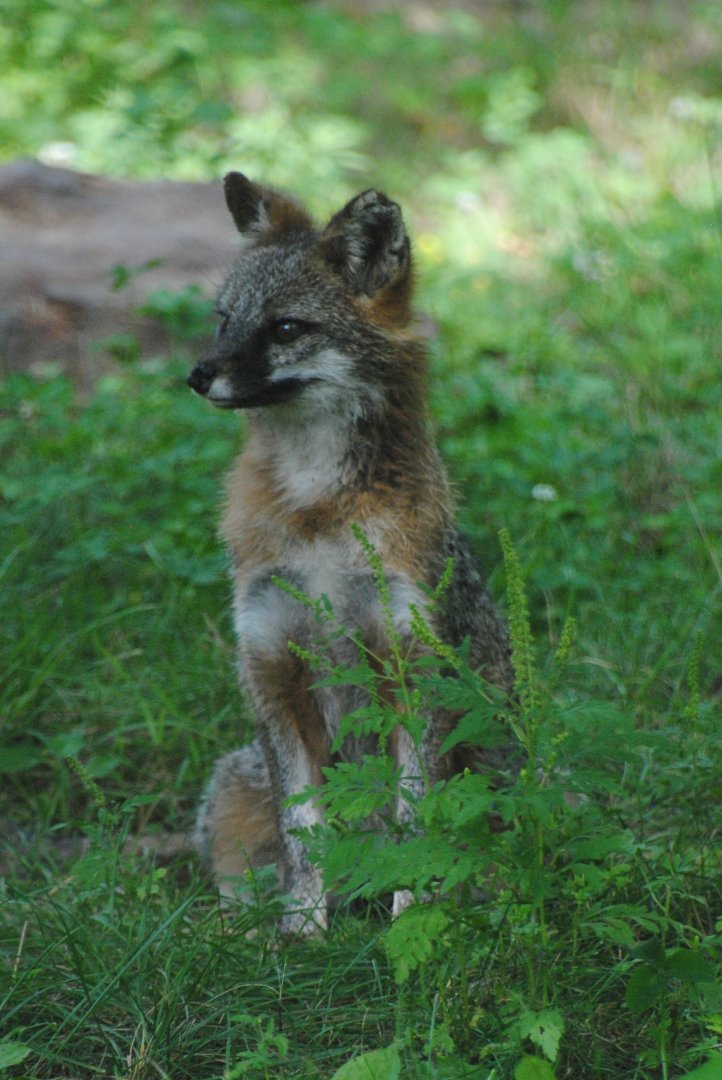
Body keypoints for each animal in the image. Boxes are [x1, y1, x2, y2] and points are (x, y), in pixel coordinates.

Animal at [188, 174, 513, 935]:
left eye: (285, 328)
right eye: (224, 319)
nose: (197, 374)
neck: (318, 521)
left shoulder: (414, 673)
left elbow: (417, 820)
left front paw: (414, 917)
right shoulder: (273, 674)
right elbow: (302, 833)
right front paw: (301, 937)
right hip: (232, 787)